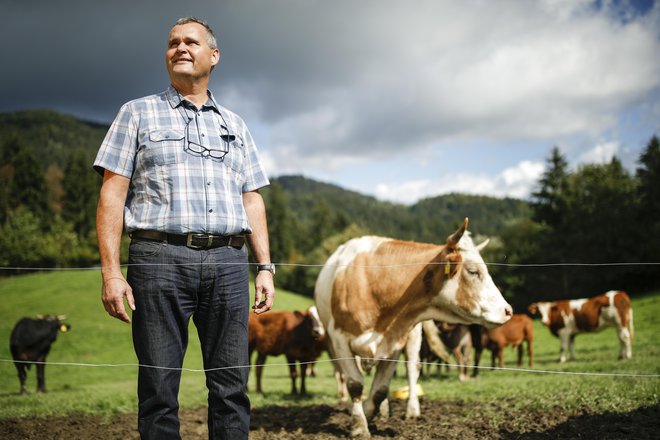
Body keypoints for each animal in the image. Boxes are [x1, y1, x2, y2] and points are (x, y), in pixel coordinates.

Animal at [314, 218, 510, 438]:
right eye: (473, 272)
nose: (508, 310)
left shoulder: (395, 340)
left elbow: (381, 389)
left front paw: (367, 412)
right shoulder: (339, 340)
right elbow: (355, 383)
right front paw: (359, 427)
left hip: (414, 336)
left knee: (412, 369)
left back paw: (411, 411)